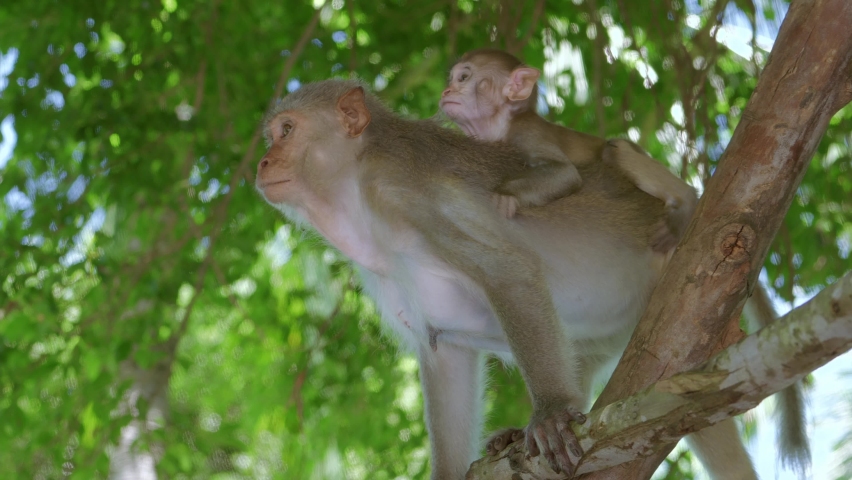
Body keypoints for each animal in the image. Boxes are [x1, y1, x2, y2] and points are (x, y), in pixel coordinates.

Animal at [255, 79, 757, 479]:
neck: (356, 189)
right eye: (273, 135)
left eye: (287, 131)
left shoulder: (406, 195)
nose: (262, 162)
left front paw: (551, 410)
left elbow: (509, 273)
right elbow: (444, 350)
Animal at [440, 48, 697, 253]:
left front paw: (505, 195)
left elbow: (565, 173)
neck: (502, 123)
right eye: (451, 79)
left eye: (463, 78)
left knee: (614, 151)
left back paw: (685, 199)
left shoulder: (526, 132)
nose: (446, 92)